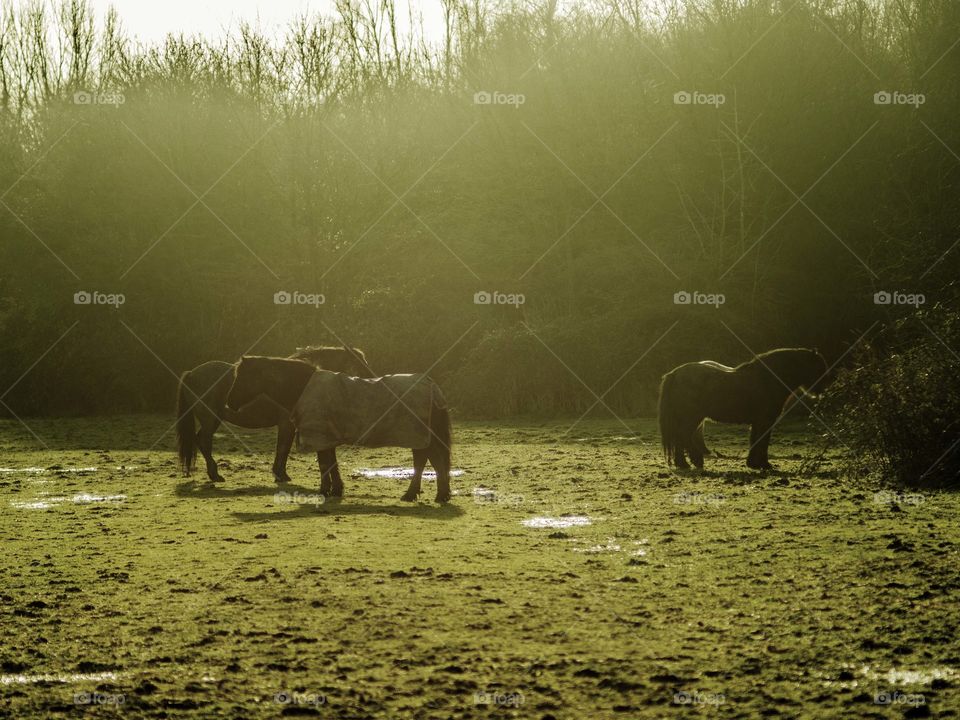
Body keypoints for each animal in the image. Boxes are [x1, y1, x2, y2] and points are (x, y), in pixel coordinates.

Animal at [176, 346, 374, 483]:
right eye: (358, 364)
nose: (372, 380)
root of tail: (192, 373)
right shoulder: (287, 424)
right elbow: (283, 448)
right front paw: (280, 475)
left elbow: (283, 449)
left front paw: (281, 473)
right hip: (211, 419)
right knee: (203, 441)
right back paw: (215, 474)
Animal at [225, 355, 453, 503]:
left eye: (241, 376)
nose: (229, 403)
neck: (304, 387)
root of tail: (432, 387)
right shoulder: (326, 438)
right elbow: (329, 463)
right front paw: (335, 489)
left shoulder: (319, 435)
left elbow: (324, 464)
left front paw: (325, 490)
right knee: (428, 461)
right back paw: (432, 494)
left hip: (419, 436)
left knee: (430, 461)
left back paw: (423, 494)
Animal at [658, 348, 828, 470]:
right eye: (819, 368)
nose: (821, 390)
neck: (768, 379)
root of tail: (675, 373)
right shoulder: (765, 421)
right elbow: (762, 441)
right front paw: (764, 464)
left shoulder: (759, 421)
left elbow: (756, 439)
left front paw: (754, 464)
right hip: (691, 417)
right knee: (683, 436)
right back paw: (695, 461)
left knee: (680, 439)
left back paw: (683, 463)